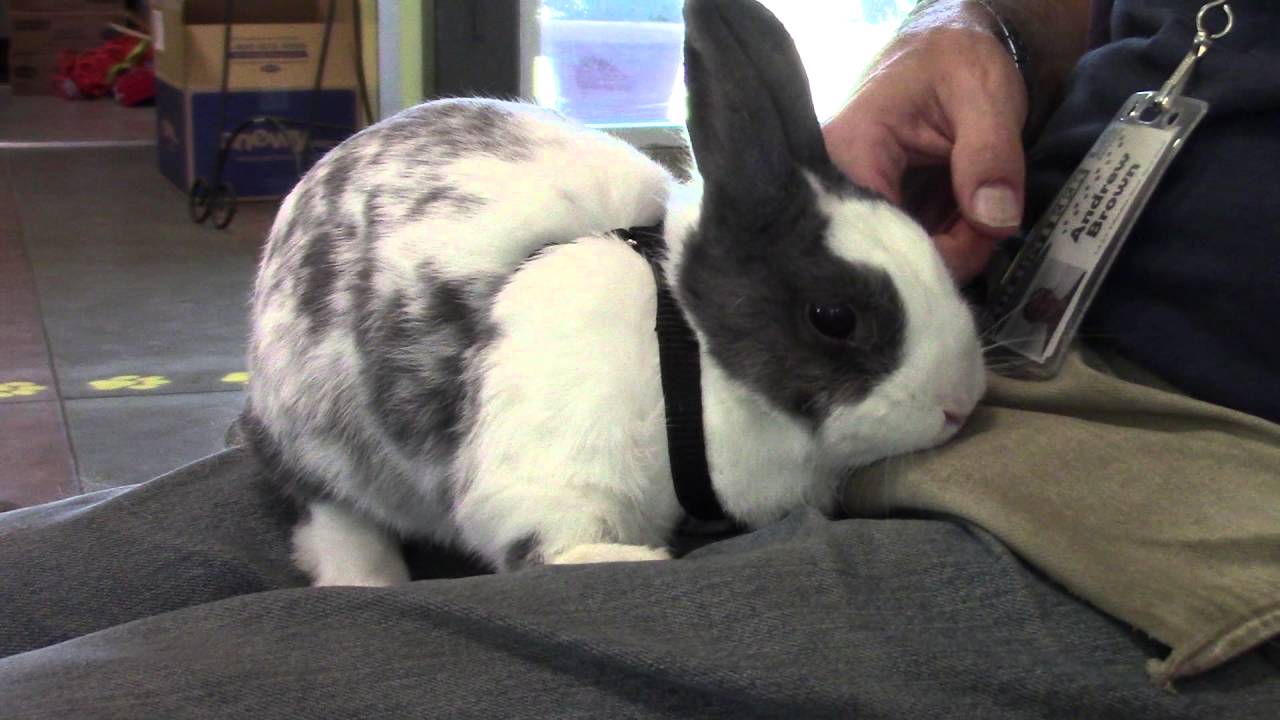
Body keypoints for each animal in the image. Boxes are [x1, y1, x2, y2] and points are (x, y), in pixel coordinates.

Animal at [242, 0, 987, 587]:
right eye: (833, 317)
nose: (959, 405)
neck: (682, 356)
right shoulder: (547, 479)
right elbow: (550, 546)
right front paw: (632, 562)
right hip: (318, 435)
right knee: (326, 505)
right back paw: (365, 576)